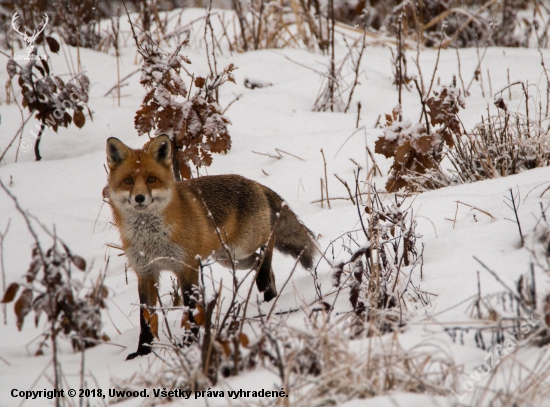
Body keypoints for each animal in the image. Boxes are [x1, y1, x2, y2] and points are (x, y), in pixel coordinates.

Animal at [106, 135, 320, 358]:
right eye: (128, 181)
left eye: (151, 179)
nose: (139, 198)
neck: (151, 239)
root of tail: (254, 183)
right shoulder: (145, 272)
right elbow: (145, 318)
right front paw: (143, 351)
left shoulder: (187, 268)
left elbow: (191, 311)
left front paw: (190, 343)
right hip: (230, 258)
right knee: (262, 266)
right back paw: (270, 297)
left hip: (243, 246)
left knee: (269, 243)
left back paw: (264, 283)